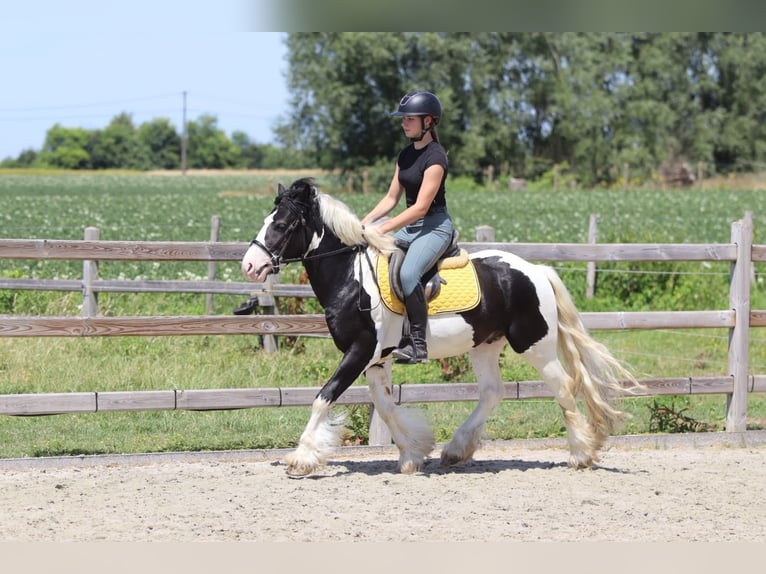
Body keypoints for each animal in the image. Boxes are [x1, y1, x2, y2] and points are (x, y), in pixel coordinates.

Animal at [241, 177, 639, 477]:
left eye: (280, 225)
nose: (249, 265)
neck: (352, 279)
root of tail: (536, 270)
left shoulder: (359, 352)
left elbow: (323, 398)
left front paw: (301, 458)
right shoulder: (376, 360)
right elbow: (386, 407)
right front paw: (412, 454)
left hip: (534, 345)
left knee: (564, 387)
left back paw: (580, 454)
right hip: (485, 345)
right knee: (492, 392)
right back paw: (456, 451)